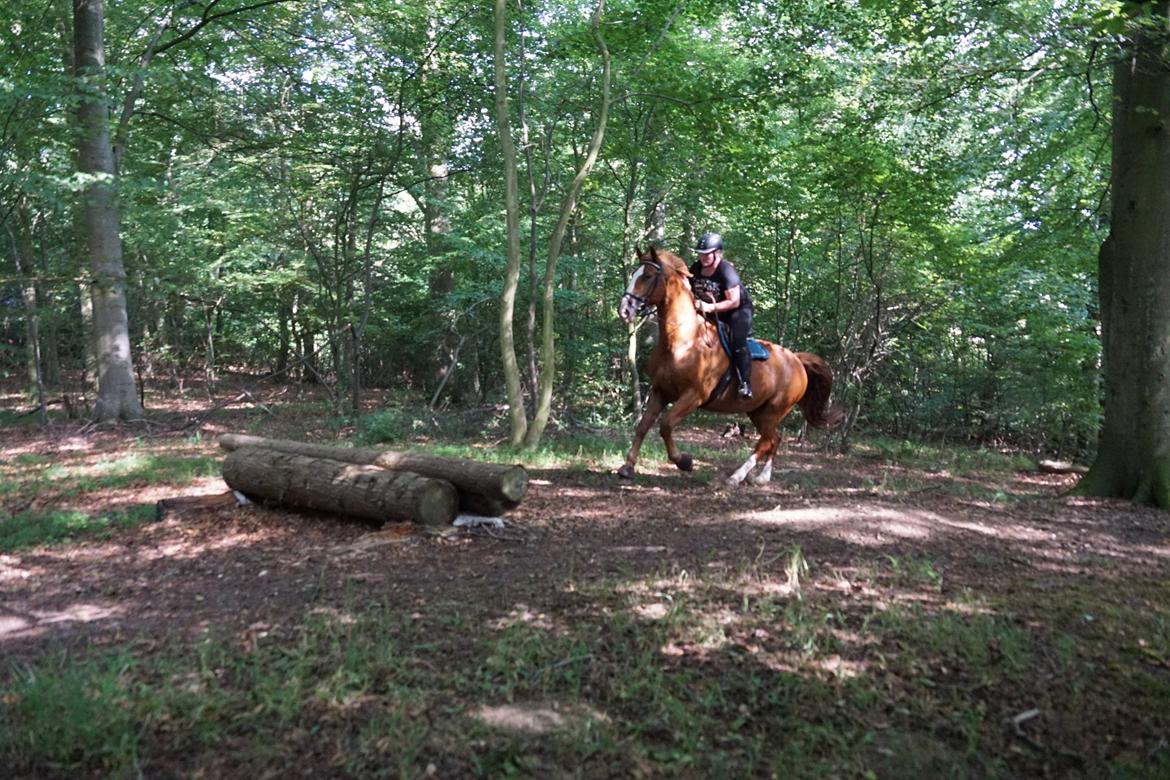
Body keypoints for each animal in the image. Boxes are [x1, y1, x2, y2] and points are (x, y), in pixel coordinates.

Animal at [613, 246, 842, 484]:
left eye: (647, 276)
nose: (624, 310)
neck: (683, 340)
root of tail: (796, 360)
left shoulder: (694, 395)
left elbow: (665, 425)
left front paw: (684, 461)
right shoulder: (660, 391)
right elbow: (643, 426)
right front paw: (627, 467)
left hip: (775, 410)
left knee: (766, 441)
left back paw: (737, 476)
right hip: (758, 411)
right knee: (774, 439)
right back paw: (762, 477)